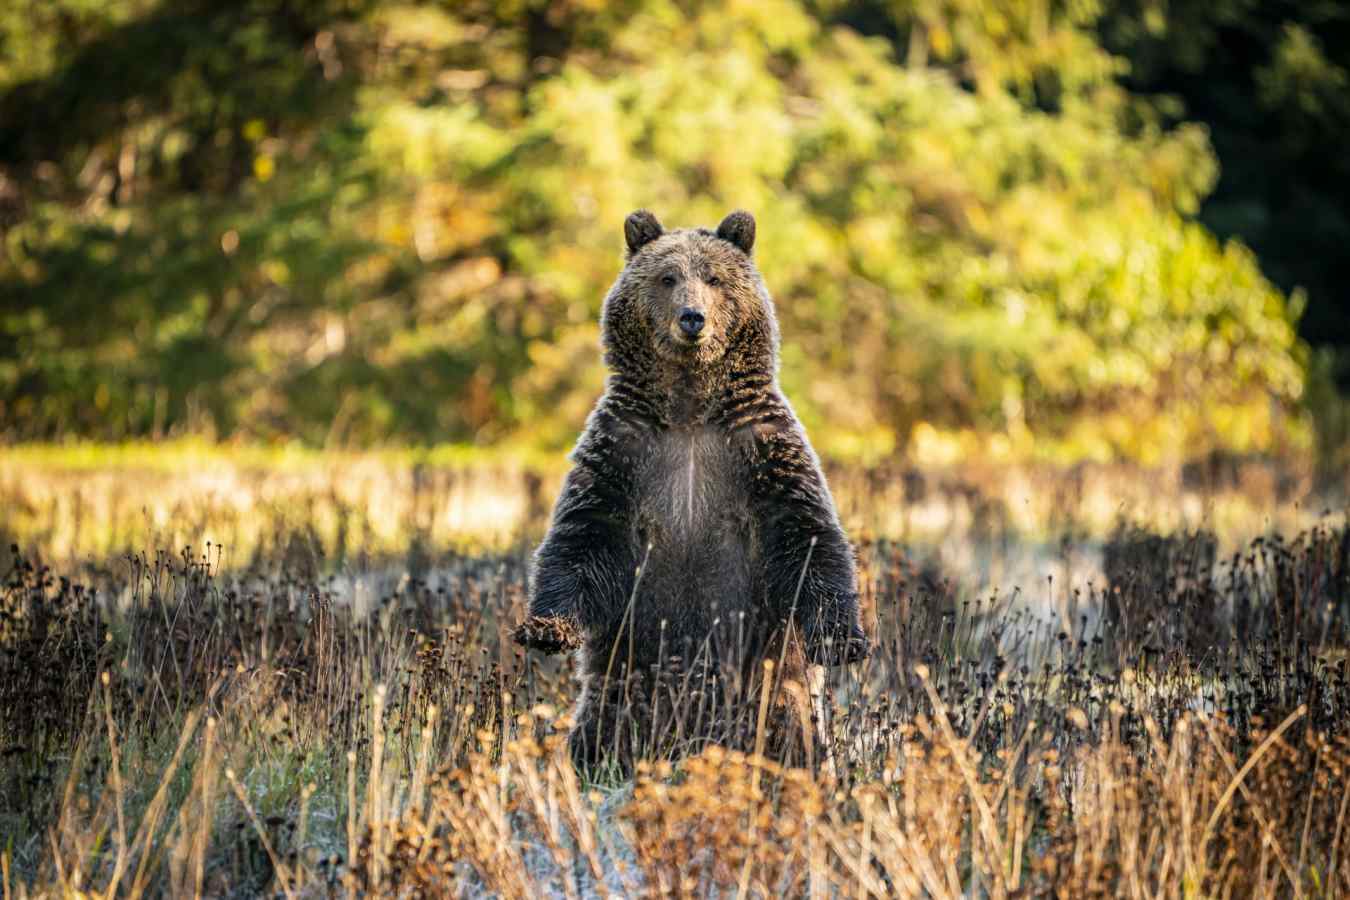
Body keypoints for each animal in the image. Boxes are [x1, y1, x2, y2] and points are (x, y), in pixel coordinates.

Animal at [513, 209, 868, 774]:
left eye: (715, 278)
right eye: (667, 277)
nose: (692, 318)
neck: (690, 409)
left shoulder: (761, 451)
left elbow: (808, 538)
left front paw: (843, 641)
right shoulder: (623, 453)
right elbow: (582, 537)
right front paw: (546, 628)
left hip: (773, 693)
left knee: (795, 740)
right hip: (623, 685)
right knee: (599, 733)